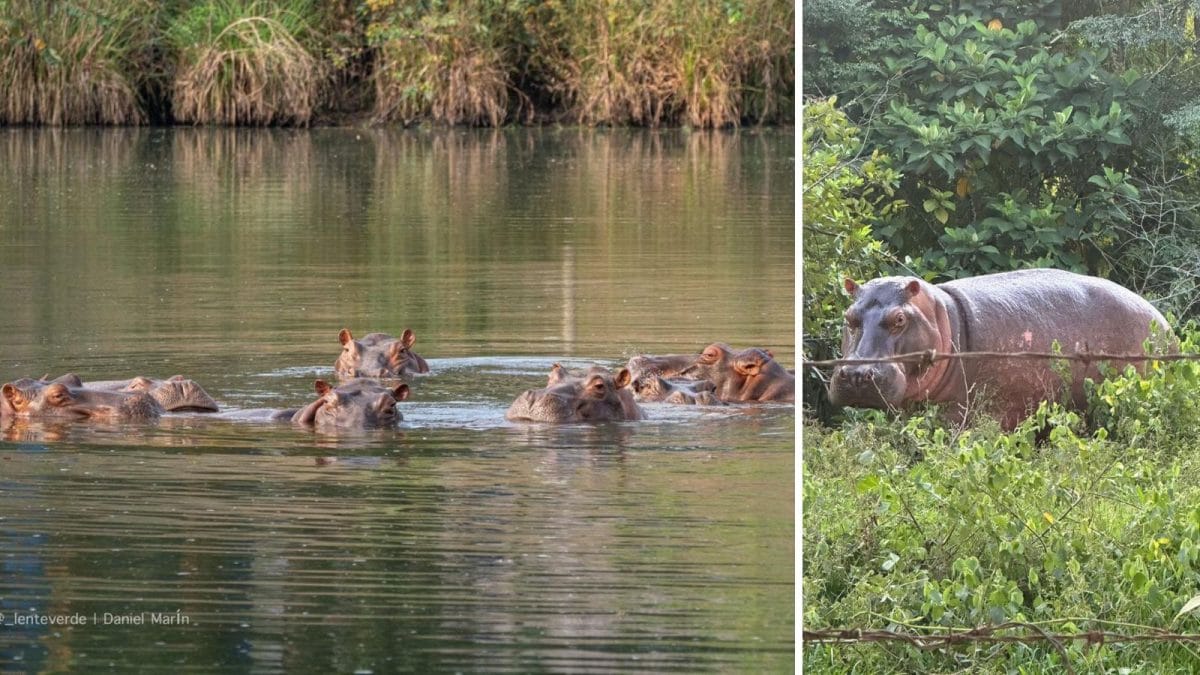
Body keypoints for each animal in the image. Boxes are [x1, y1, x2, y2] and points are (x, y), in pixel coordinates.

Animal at [829, 268, 1174, 430]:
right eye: (848, 316)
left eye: (899, 318)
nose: (857, 375)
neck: (942, 314)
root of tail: (1164, 322)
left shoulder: (962, 416)